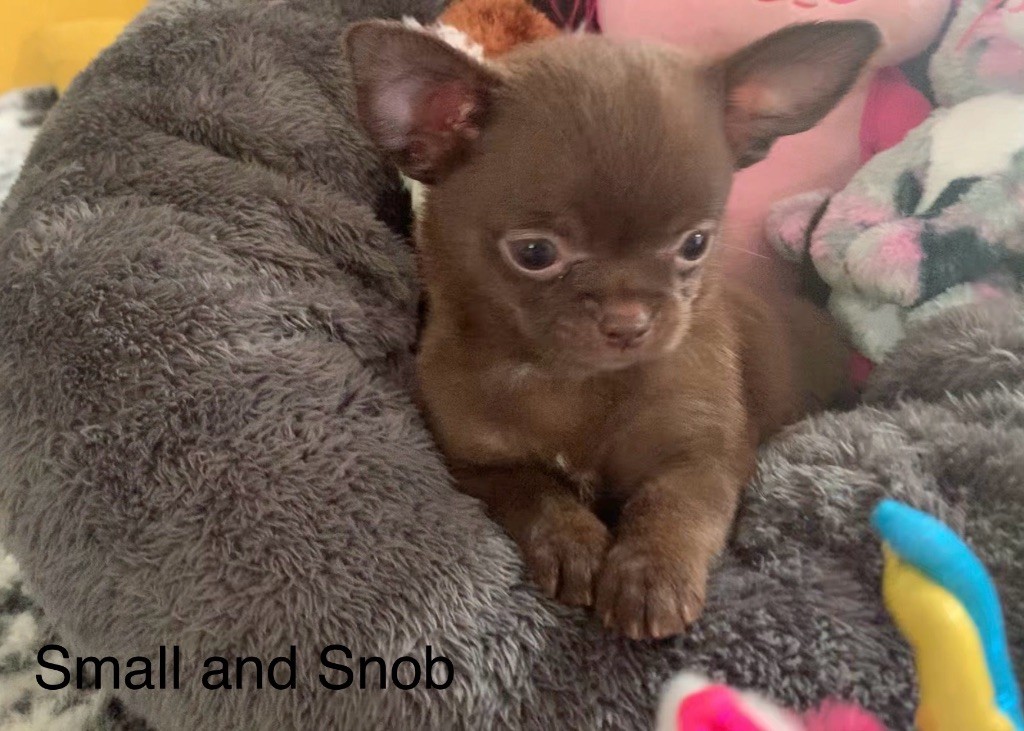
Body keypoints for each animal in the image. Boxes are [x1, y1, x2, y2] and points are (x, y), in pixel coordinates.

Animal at [345, 19, 878, 640]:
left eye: (695, 244)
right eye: (534, 253)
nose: (630, 322)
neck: (570, 380)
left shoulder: (703, 456)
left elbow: (673, 505)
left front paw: (651, 575)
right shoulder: (476, 463)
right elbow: (532, 490)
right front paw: (572, 542)